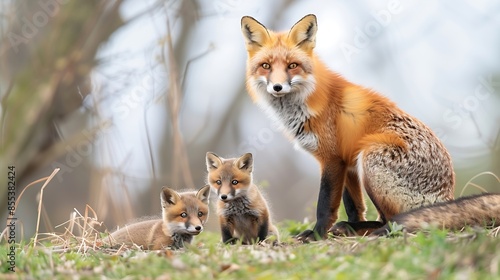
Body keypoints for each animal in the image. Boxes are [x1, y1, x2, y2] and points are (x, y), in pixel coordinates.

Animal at [240, 14, 498, 240]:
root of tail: (447, 195)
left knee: (392, 220)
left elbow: (325, 206)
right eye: (266, 66)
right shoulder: (346, 162)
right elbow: (354, 207)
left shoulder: (332, 159)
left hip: (371, 157)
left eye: (292, 65)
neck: (306, 101)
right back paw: (352, 228)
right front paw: (347, 226)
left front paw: (317, 234)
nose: (277, 87)